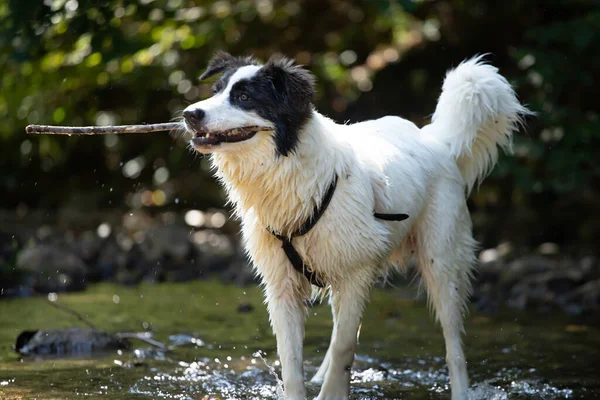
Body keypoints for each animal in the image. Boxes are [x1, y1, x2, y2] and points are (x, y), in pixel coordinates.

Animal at [182, 50, 528, 400]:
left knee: (453, 345)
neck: (295, 175)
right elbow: (292, 362)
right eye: (216, 91)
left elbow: (345, 348)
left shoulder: (356, 274)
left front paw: (332, 392)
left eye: (243, 97)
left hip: (442, 261)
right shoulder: (283, 286)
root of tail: (434, 140)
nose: (189, 114)